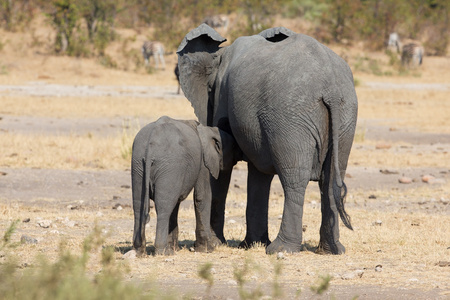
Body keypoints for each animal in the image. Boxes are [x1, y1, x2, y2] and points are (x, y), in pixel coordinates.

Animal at [131, 115, 239, 255]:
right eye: (234, 146)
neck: (207, 129)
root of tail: (151, 142)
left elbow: (176, 202)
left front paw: (174, 247)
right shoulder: (202, 161)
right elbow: (202, 197)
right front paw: (207, 249)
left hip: (138, 164)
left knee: (139, 205)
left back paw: (139, 251)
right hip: (170, 165)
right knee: (164, 207)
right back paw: (163, 252)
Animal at [178, 24, 356, 254]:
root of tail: (331, 88)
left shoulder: (221, 98)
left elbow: (224, 167)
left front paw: (218, 243)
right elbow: (259, 173)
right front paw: (251, 244)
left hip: (290, 116)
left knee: (294, 178)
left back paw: (280, 249)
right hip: (344, 114)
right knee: (331, 178)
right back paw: (331, 250)